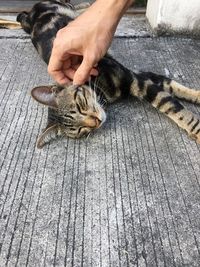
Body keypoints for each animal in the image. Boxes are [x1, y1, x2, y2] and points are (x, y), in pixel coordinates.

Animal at [16, 0, 200, 149]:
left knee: (70, 5)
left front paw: (197, 127)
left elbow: (177, 105)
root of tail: (32, 13)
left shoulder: (137, 79)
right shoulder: (142, 78)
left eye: (80, 106)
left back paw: (87, 8)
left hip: (57, 6)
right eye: (80, 130)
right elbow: (173, 91)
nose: (96, 122)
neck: (102, 91)